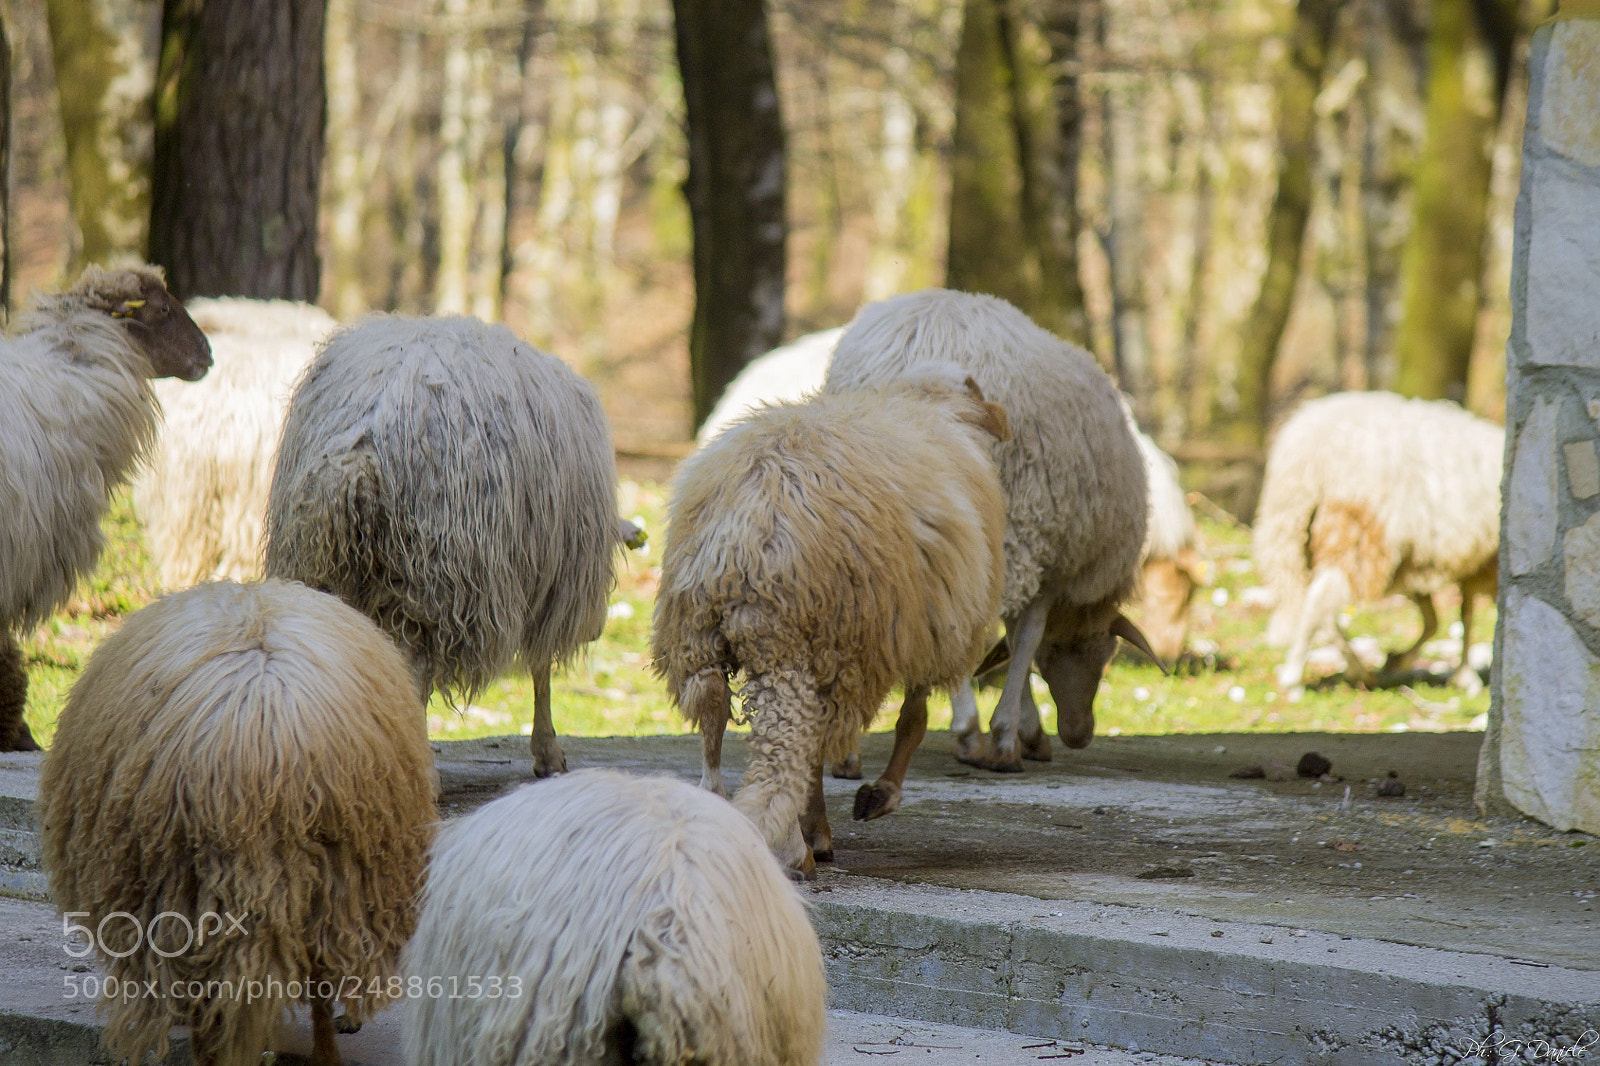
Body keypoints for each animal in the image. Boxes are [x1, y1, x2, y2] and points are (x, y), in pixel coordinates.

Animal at [264, 315, 623, 776]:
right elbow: (541, 670)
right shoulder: (555, 580)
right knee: (413, 668)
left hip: (326, 567)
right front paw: (548, 751)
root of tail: (362, 449)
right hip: (440, 575)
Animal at [653, 366, 1009, 871]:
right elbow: (914, 720)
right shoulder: (931, 631)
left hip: (694, 635)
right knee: (808, 743)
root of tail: (752, 534)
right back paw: (809, 840)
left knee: (714, 713)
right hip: (837, 643)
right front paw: (881, 796)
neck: (926, 403)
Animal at [823, 289, 1154, 773]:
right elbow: (1023, 639)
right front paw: (1012, 734)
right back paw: (969, 731)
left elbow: (1013, 639)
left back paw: (848, 753)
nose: (1079, 734)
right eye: (1102, 652)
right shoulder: (1045, 556)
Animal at [1255, 391, 1502, 694]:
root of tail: (1308, 455)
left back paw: (1356, 669)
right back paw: (1295, 676)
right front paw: (1465, 676)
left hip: (1289, 533)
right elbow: (1465, 616)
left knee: (1313, 602)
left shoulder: (1420, 564)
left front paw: (1398, 661)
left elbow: (1434, 620)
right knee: (1320, 600)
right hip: (1358, 530)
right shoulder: (1478, 564)